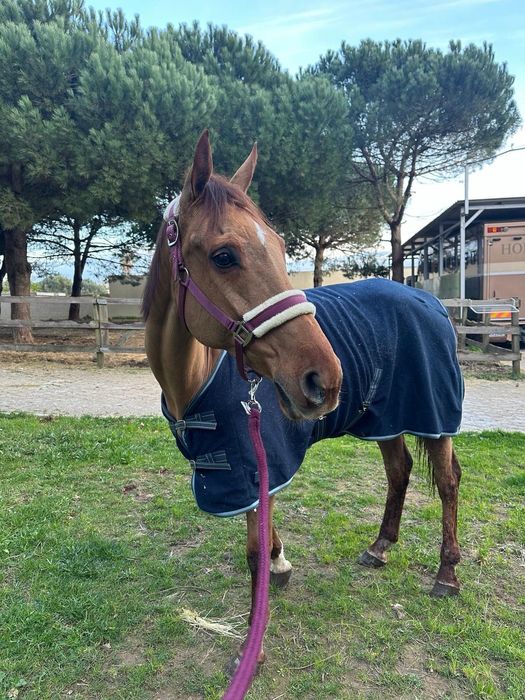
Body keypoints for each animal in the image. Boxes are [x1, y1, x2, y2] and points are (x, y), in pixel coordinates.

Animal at [142, 130, 463, 670]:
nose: (326, 379)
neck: (194, 381)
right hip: (385, 419)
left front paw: (253, 644)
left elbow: (252, 550)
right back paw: (380, 547)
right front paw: (280, 563)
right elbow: (264, 536)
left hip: (434, 416)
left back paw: (446, 575)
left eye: (278, 245)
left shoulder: (255, 465)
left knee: (446, 482)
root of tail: (430, 301)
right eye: (224, 255)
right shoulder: (248, 469)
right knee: (399, 471)